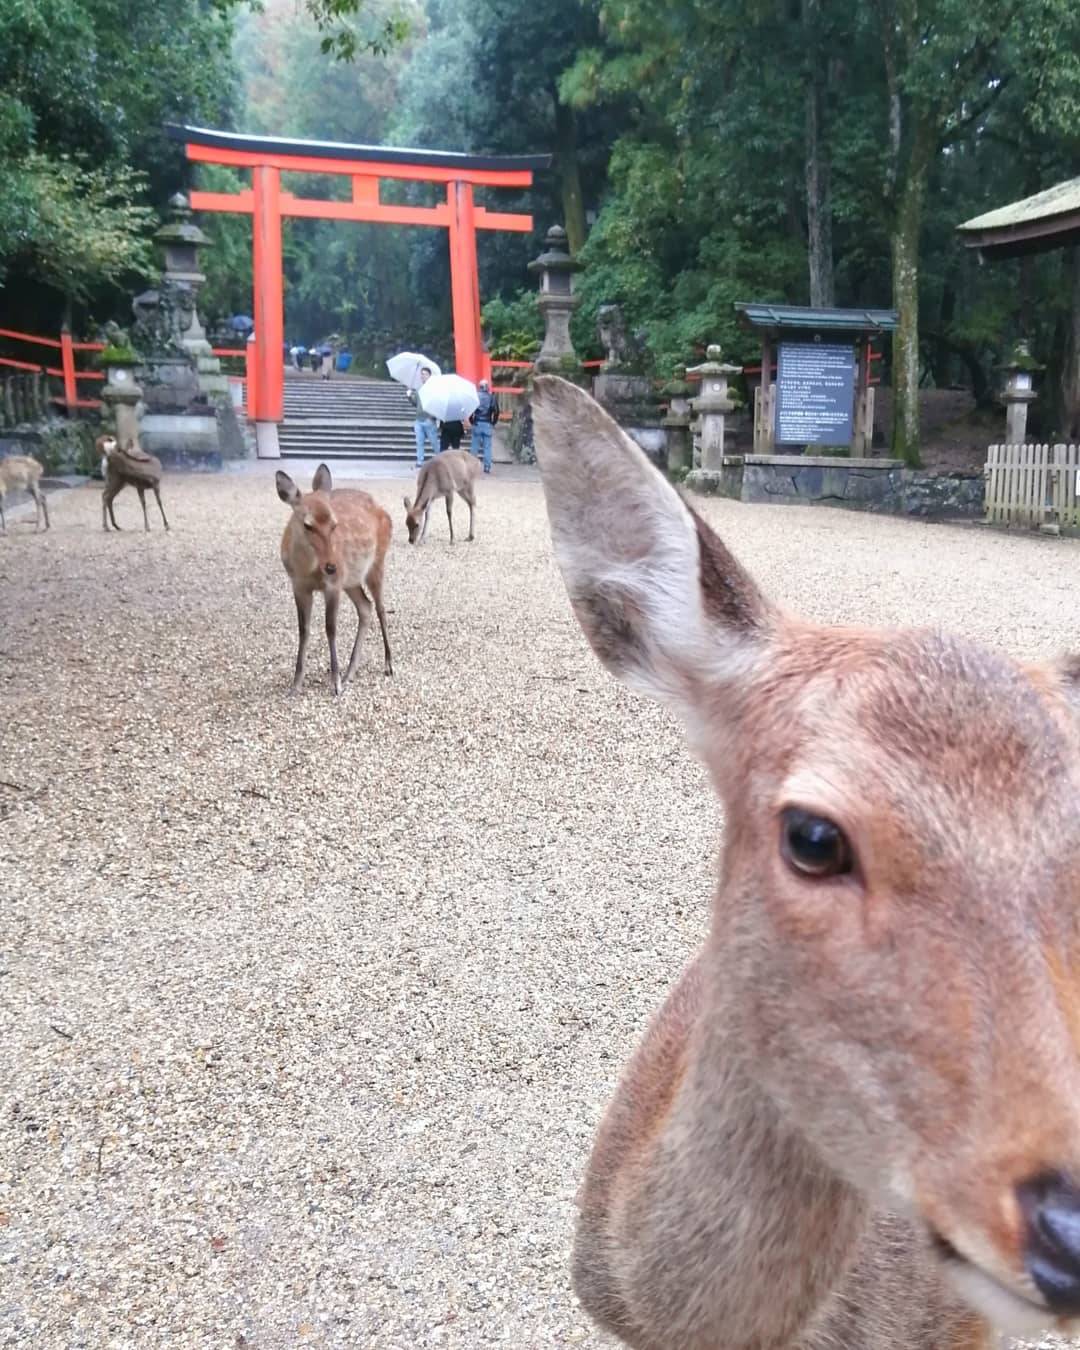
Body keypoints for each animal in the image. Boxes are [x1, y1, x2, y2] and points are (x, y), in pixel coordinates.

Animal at [276, 464, 394, 696]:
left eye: (334, 524)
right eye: (307, 525)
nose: (331, 566)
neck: (308, 569)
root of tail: (384, 511)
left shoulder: (333, 585)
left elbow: (330, 628)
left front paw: (336, 684)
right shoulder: (298, 586)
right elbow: (303, 630)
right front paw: (295, 685)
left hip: (376, 564)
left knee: (381, 608)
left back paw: (388, 665)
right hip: (351, 579)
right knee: (365, 607)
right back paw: (350, 672)